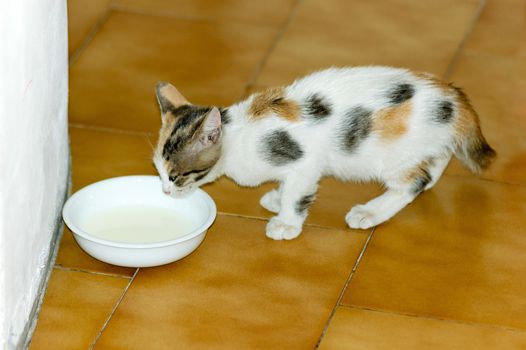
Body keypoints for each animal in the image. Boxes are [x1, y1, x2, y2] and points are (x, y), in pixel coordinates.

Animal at [152, 66, 496, 241]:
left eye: (176, 176)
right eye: (158, 170)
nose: (165, 191)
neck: (238, 134)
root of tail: (453, 95)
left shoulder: (304, 161)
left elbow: (298, 193)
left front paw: (286, 222)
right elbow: (286, 186)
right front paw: (277, 197)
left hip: (394, 156)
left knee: (413, 182)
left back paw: (370, 212)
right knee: (436, 162)